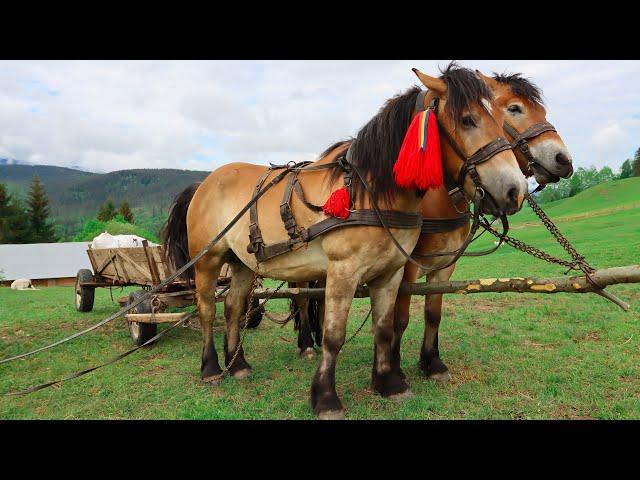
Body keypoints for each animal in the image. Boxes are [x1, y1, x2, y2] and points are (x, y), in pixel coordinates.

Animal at [164, 62, 524, 418]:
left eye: (501, 118)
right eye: (467, 119)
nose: (514, 190)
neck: (369, 193)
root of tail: (204, 182)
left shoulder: (391, 272)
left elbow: (384, 327)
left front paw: (389, 383)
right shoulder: (342, 271)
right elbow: (333, 336)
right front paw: (325, 398)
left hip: (242, 264)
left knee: (233, 308)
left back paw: (238, 365)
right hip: (208, 261)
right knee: (207, 310)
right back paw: (211, 368)